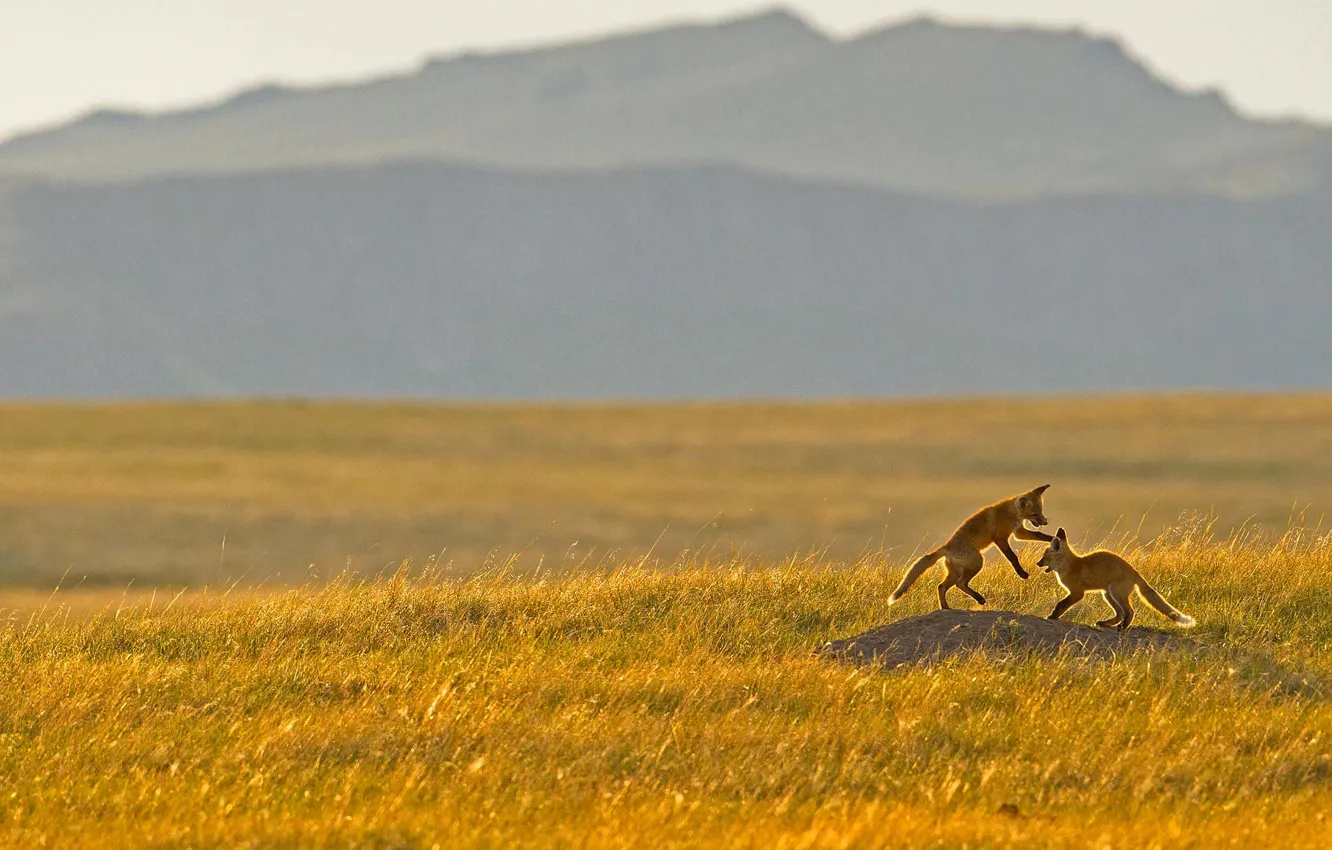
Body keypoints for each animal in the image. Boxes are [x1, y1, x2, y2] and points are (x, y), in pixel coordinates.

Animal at [888, 485, 1054, 610]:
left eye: (1041, 511)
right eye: (1034, 514)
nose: (1045, 521)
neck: (1011, 512)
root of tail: (946, 547)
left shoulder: (1018, 531)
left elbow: (1040, 535)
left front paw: (1054, 539)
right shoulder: (1000, 537)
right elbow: (1012, 557)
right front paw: (1022, 573)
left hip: (956, 571)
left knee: (941, 586)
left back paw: (946, 607)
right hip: (977, 562)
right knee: (959, 583)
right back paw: (977, 599)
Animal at [1036, 527, 1196, 631]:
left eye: (1044, 558)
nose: (1037, 563)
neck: (1071, 565)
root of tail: (1134, 571)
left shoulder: (1077, 593)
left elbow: (1061, 605)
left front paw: (1053, 616)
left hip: (1116, 593)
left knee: (1129, 612)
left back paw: (1122, 627)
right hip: (1107, 594)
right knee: (1120, 614)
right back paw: (1107, 624)